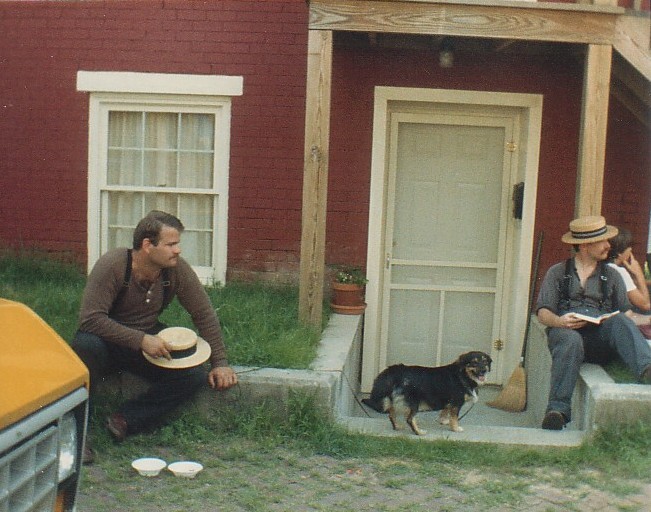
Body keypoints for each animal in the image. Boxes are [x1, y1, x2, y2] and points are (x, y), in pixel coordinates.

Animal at [361, 351, 492, 435]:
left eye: (485, 362)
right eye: (474, 362)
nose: (483, 370)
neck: (463, 375)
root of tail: (398, 371)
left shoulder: (449, 402)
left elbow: (445, 411)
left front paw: (443, 421)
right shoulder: (456, 403)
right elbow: (454, 418)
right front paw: (455, 428)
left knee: (391, 414)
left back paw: (397, 427)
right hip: (414, 402)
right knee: (409, 419)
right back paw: (419, 432)